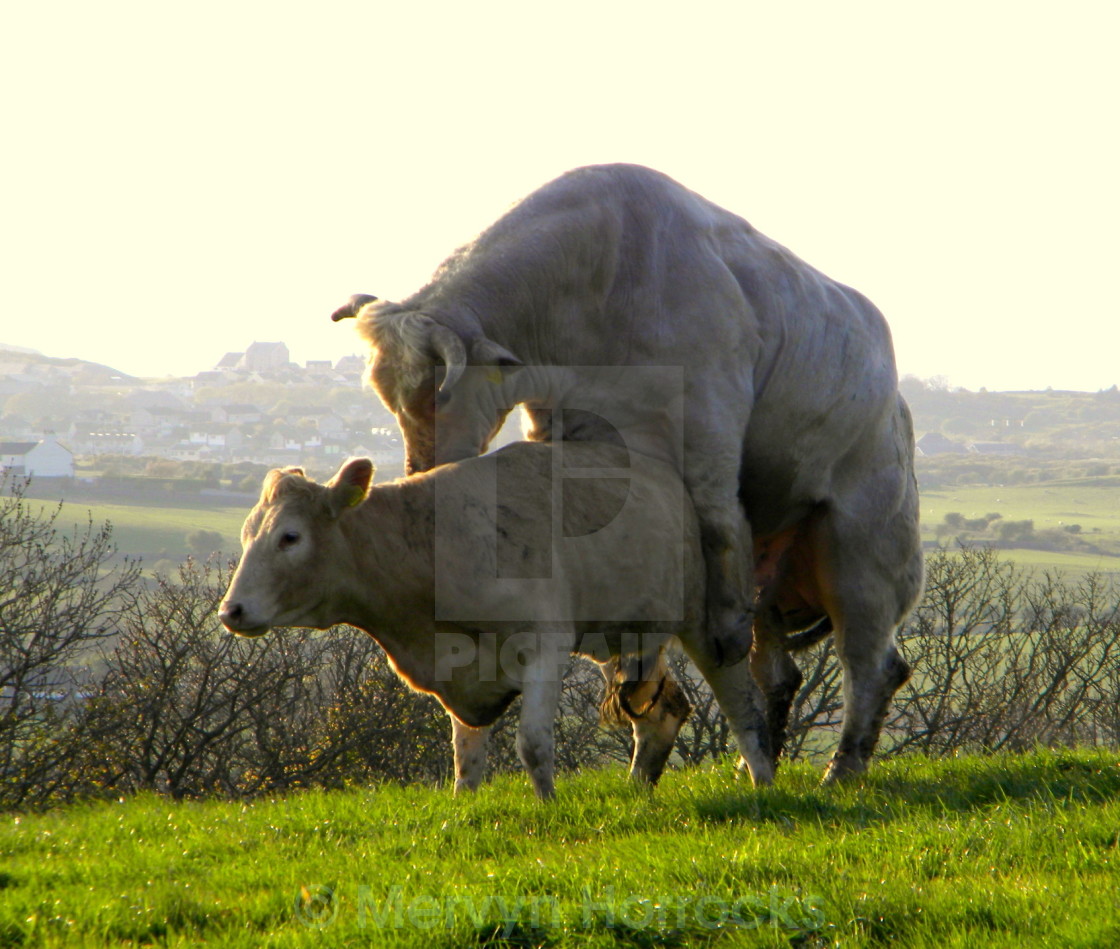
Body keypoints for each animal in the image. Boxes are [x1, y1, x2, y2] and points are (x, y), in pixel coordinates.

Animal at [220, 441, 779, 797]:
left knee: (742, 704)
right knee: (661, 712)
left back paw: (763, 784)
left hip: (708, 620)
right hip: (621, 632)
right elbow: (465, 758)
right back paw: (639, 789)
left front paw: (549, 808)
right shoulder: (458, 664)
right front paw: (461, 809)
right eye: (247, 534)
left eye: (290, 537)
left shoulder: (543, 644)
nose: (231, 610)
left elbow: (532, 744)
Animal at [329, 164, 918, 788]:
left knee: (871, 663)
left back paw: (841, 769)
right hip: (781, 574)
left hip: (861, 548)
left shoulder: (706, 447)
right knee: (782, 672)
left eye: (434, 392)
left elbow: (719, 562)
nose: (423, 471)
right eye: (388, 398)